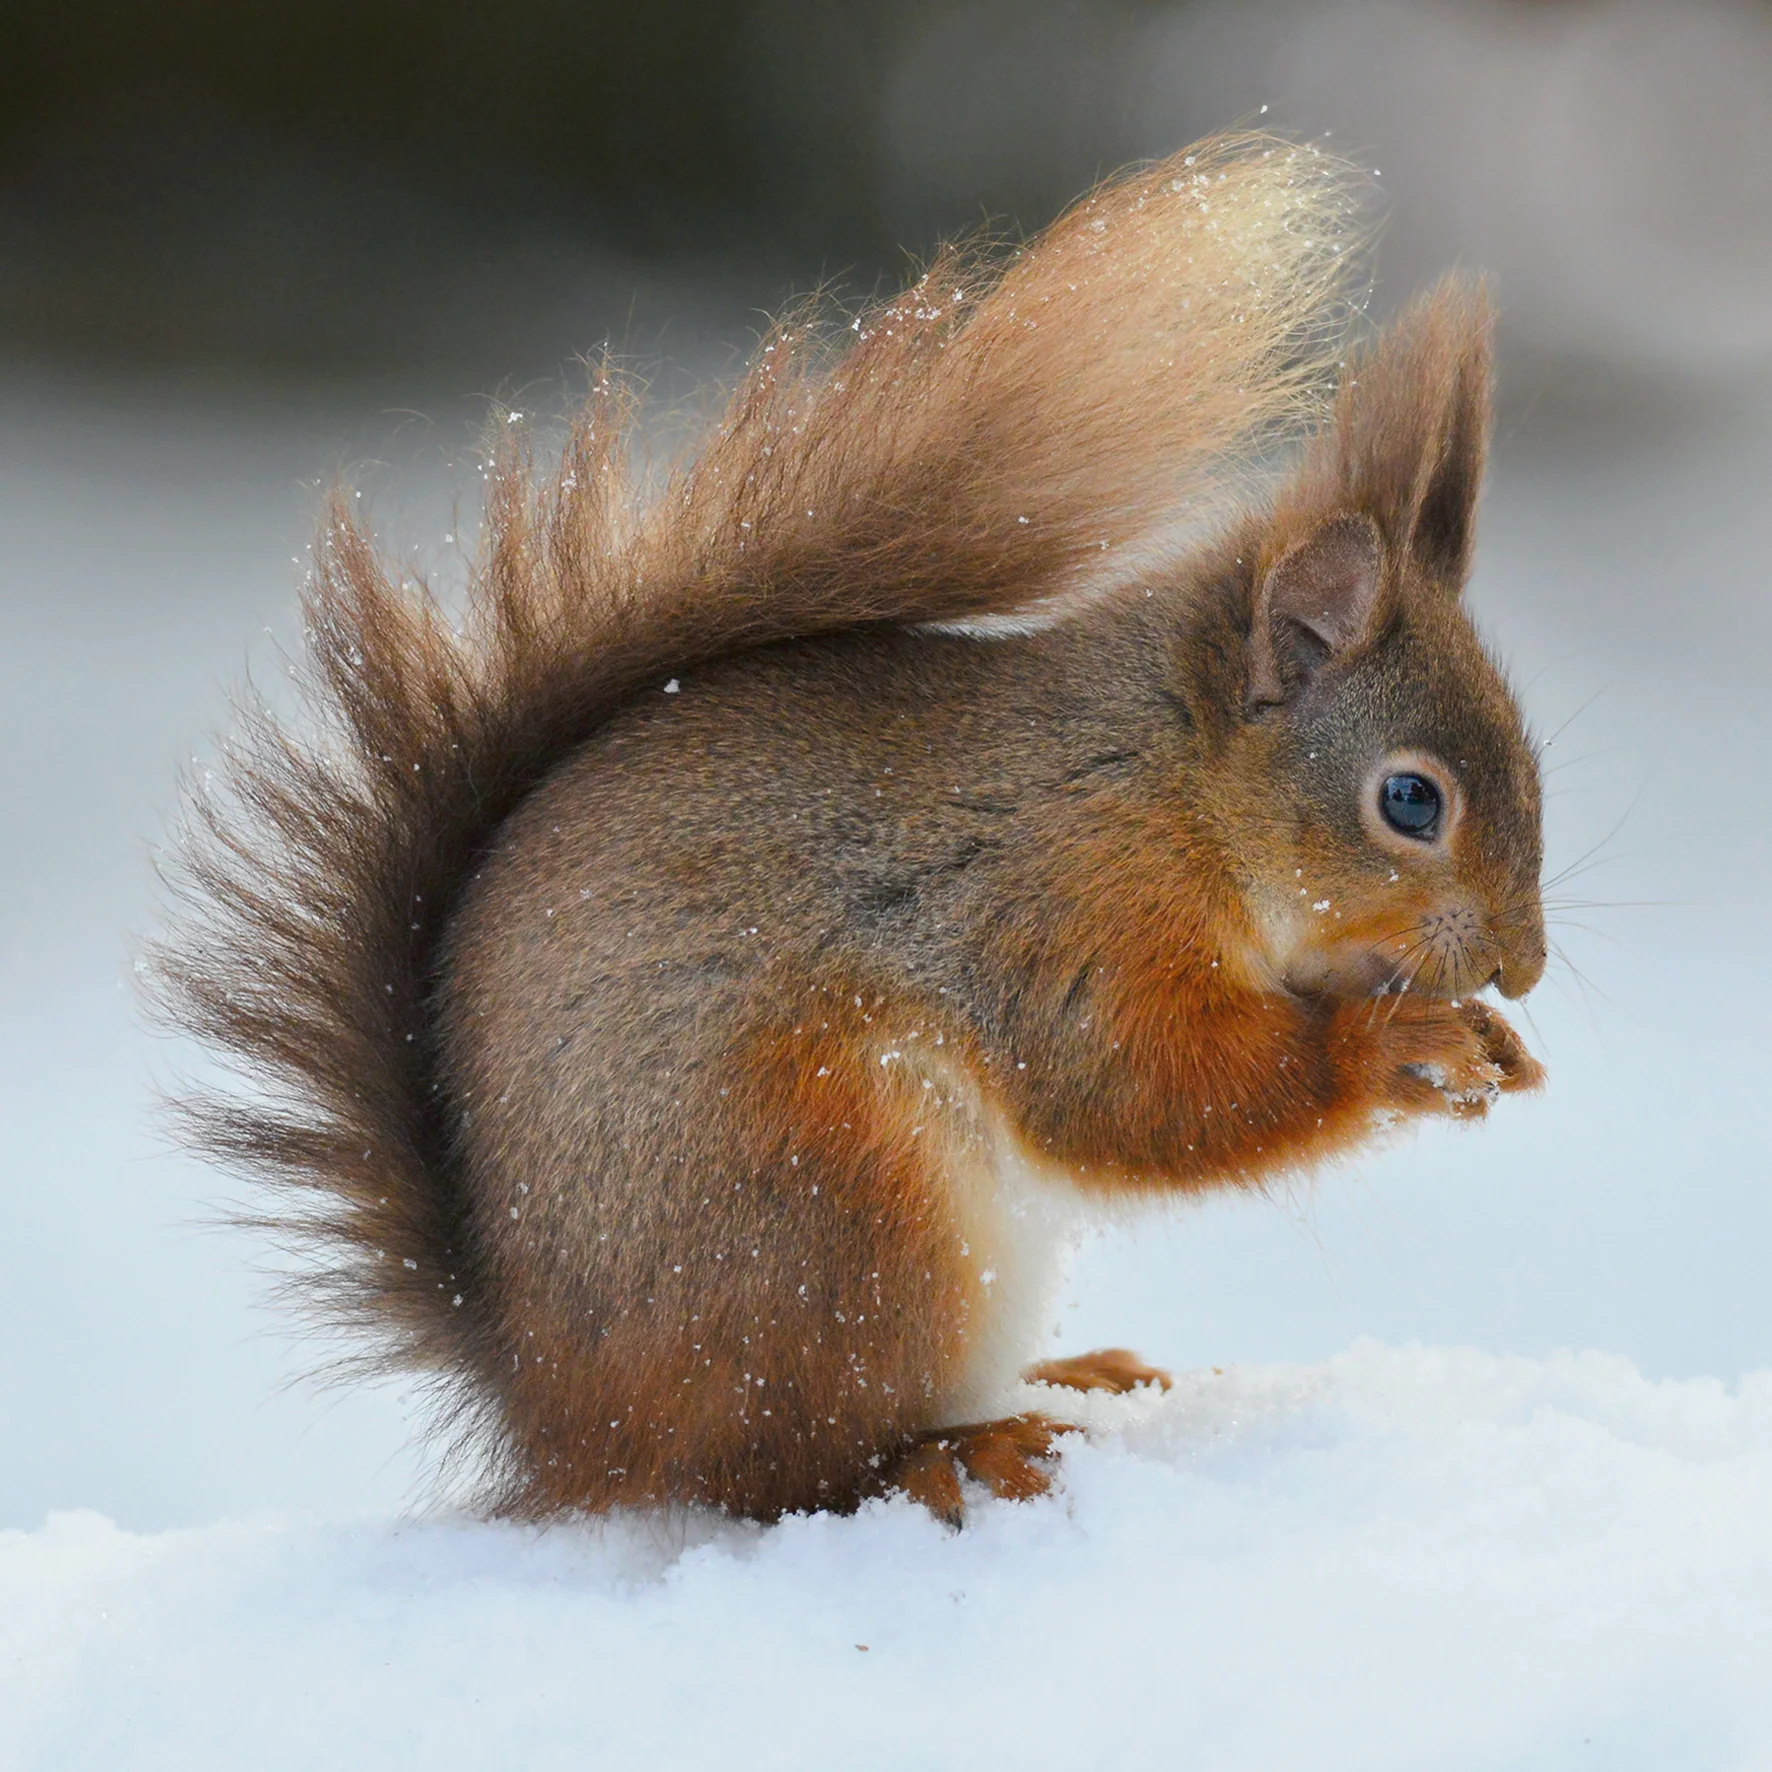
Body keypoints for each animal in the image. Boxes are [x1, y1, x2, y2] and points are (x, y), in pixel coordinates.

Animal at [157, 133, 1546, 1527]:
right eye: (1410, 800)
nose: (1522, 966)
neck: (1167, 779)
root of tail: (557, 1414)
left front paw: (1483, 1045)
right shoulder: (1057, 906)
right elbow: (1135, 1091)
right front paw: (1390, 1047)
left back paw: (1072, 1375)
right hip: (835, 1211)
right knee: (782, 1470)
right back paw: (955, 1447)